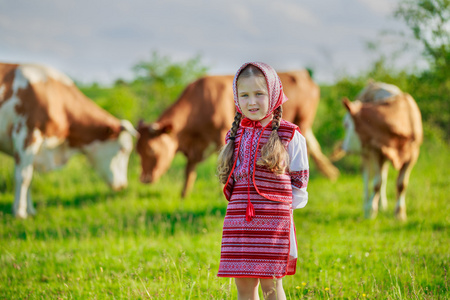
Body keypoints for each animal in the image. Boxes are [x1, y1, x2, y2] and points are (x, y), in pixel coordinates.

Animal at [0, 63, 137, 218]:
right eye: (123, 150)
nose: (123, 185)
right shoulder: (25, 134)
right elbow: (23, 176)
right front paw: (20, 212)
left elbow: (30, 177)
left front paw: (30, 210)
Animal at [135, 70, 340, 197]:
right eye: (138, 151)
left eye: (151, 150)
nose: (144, 179)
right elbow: (189, 170)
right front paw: (184, 195)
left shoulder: (222, 133)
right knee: (314, 146)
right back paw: (332, 174)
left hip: (304, 120)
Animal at [342, 82, 422, 220]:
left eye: (346, 125)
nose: (344, 147)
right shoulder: (376, 151)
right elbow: (376, 183)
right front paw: (370, 211)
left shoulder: (413, 154)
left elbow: (402, 184)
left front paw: (400, 213)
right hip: (366, 154)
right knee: (367, 177)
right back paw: (367, 203)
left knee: (383, 176)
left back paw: (381, 205)